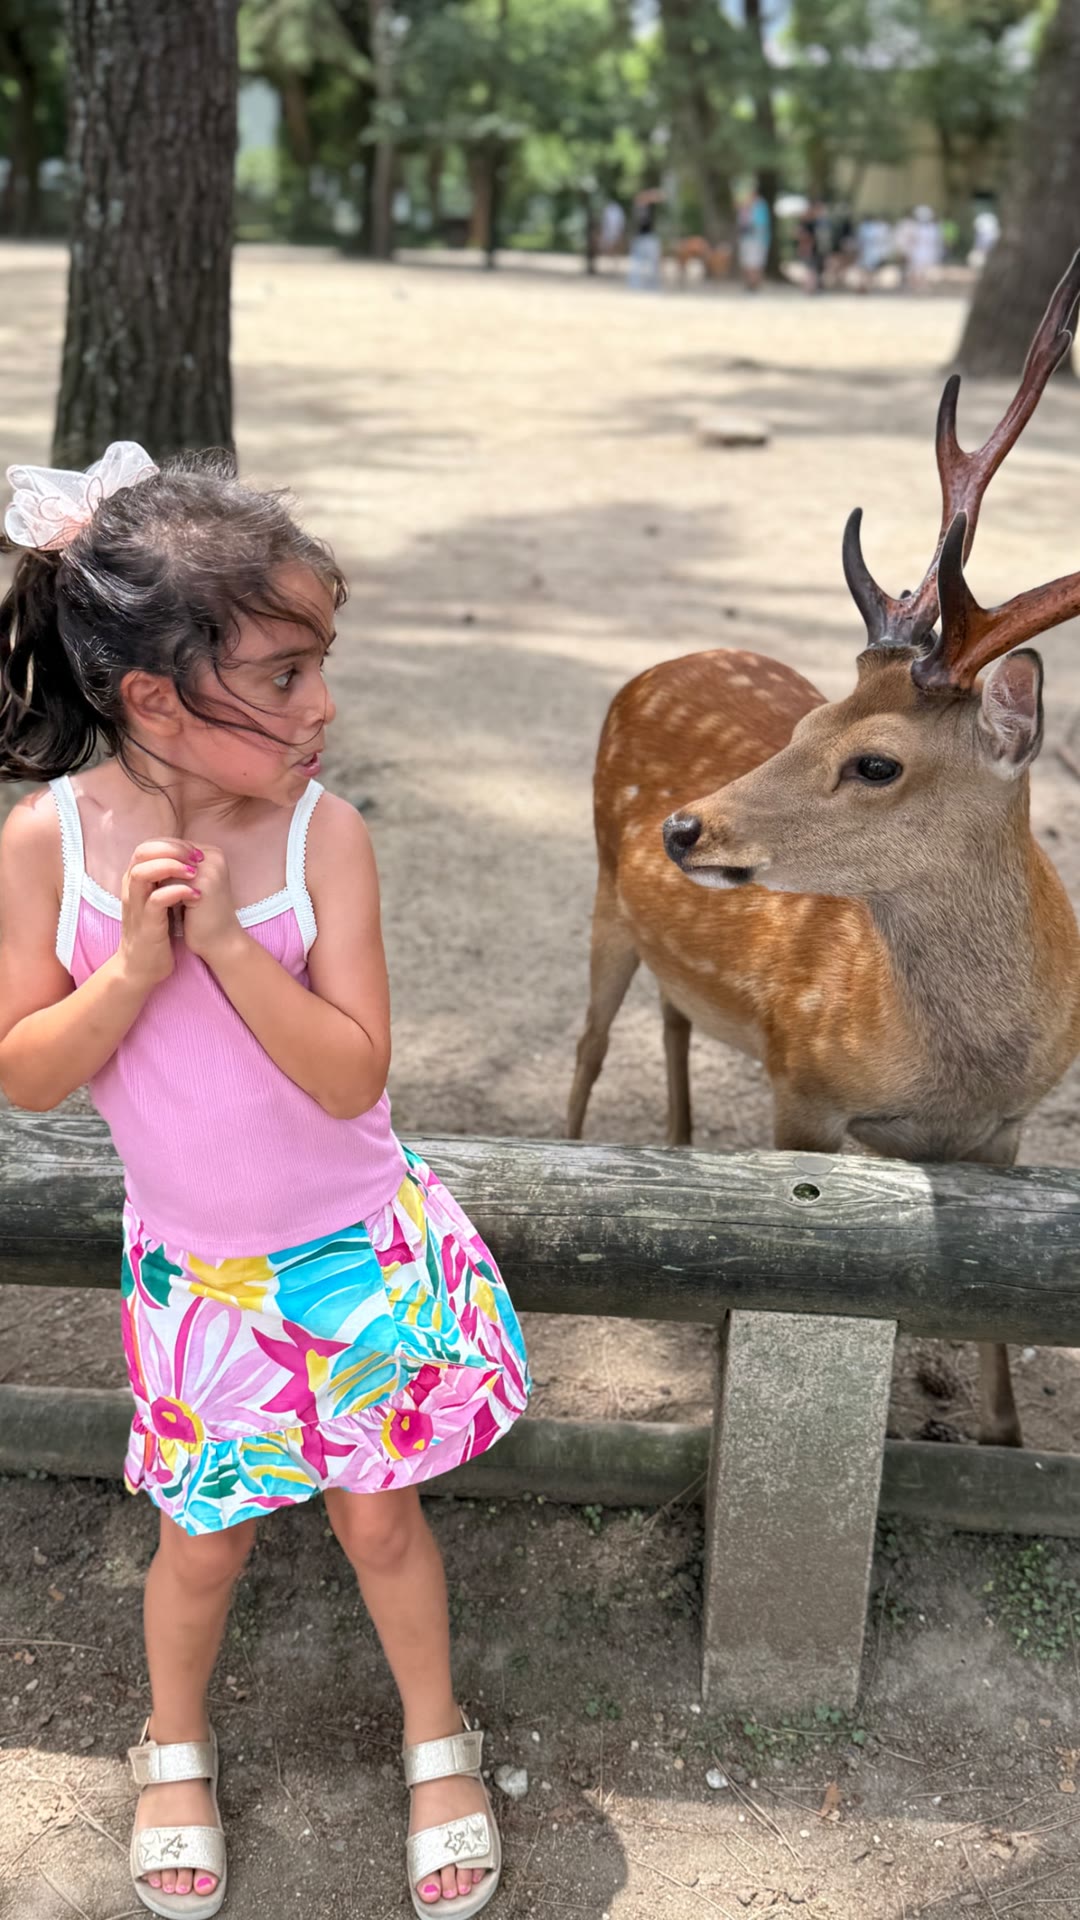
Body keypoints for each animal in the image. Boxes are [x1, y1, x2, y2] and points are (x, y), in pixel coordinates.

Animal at [567, 251, 1080, 1449]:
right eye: (808, 722)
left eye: (875, 761)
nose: (683, 826)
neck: (950, 1071)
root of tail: (658, 661)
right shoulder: (802, 1080)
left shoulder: (1010, 1130)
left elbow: (1000, 1311)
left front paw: (1003, 1432)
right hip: (604, 897)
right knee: (589, 1045)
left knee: (674, 1018)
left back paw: (679, 1146)